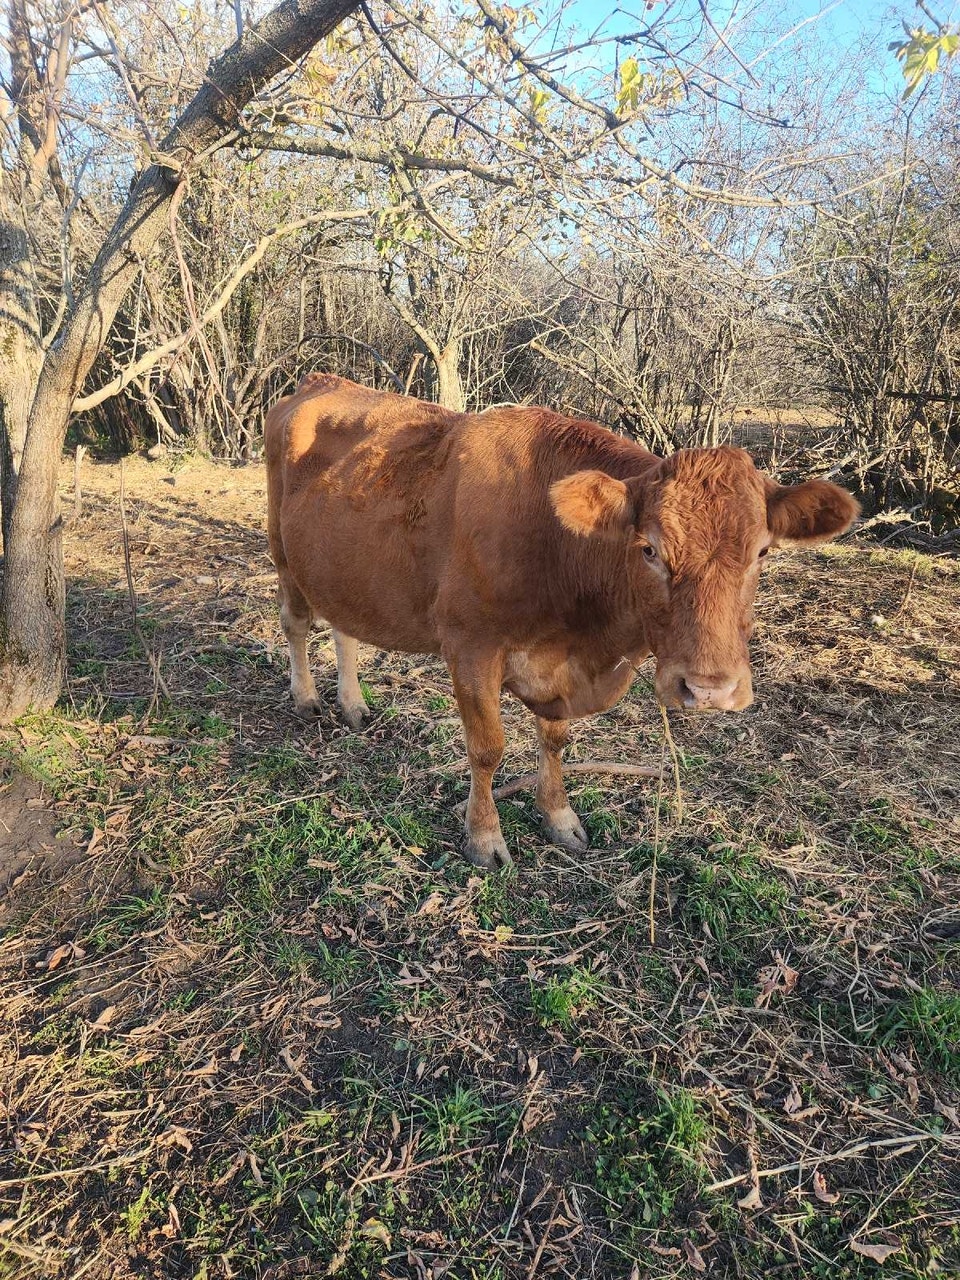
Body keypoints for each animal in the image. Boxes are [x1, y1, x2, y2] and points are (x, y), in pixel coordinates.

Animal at [265, 374, 858, 870]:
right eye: (649, 549)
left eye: (762, 551)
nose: (709, 689)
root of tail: (319, 381)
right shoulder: (469, 646)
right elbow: (487, 748)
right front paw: (484, 838)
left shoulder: (559, 670)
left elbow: (555, 741)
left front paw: (559, 818)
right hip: (283, 553)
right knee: (296, 624)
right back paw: (307, 696)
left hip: (343, 569)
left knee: (343, 627)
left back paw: (353, 703)